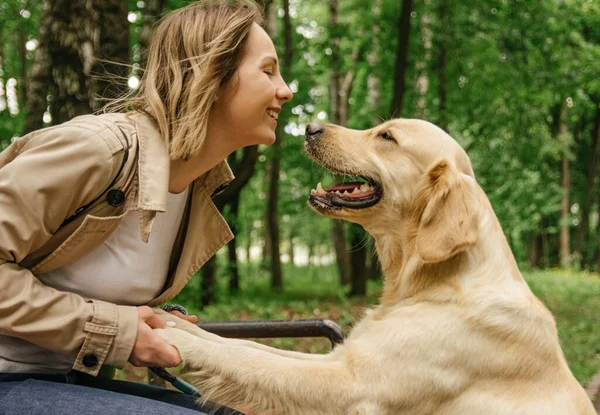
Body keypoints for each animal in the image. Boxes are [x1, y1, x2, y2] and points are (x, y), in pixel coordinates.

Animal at [155, 118, 596, 415]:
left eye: (387, 137)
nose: (310, 127)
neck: (431, 281)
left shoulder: (353, 385)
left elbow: (250, 360)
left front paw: (173, 338)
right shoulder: (342, 358)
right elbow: (243, 346)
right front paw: (171, 322)